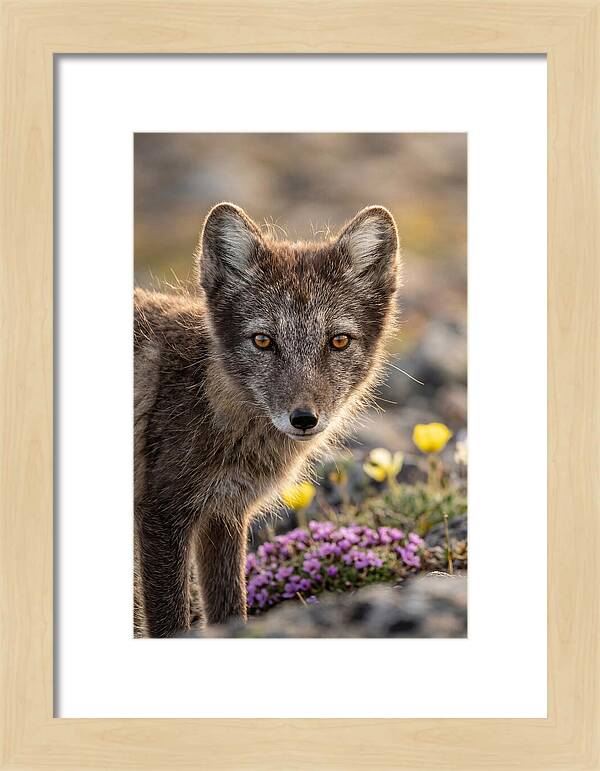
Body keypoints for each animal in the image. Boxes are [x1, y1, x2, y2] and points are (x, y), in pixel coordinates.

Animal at [134, 202, 401, 637]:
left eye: (338, 341)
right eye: (263, 341)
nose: (304, 419)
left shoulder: (224, 515)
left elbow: (230, 610)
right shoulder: (162, 514)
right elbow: (170, 623)